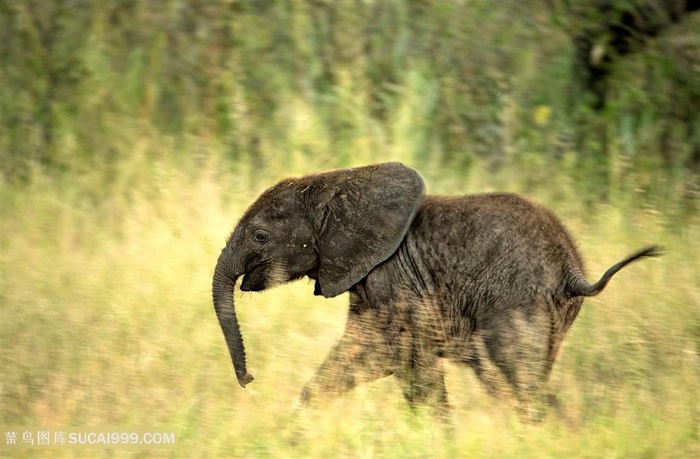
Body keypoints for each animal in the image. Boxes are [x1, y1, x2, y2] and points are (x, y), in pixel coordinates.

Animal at [211, 164, 660, 418]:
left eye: (261, 236)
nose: (249, 379)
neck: (333, 182)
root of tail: (573, 269)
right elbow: (363, 357)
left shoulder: (394, 279)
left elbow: (403, 359)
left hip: (516, 301)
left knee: (517, 381)